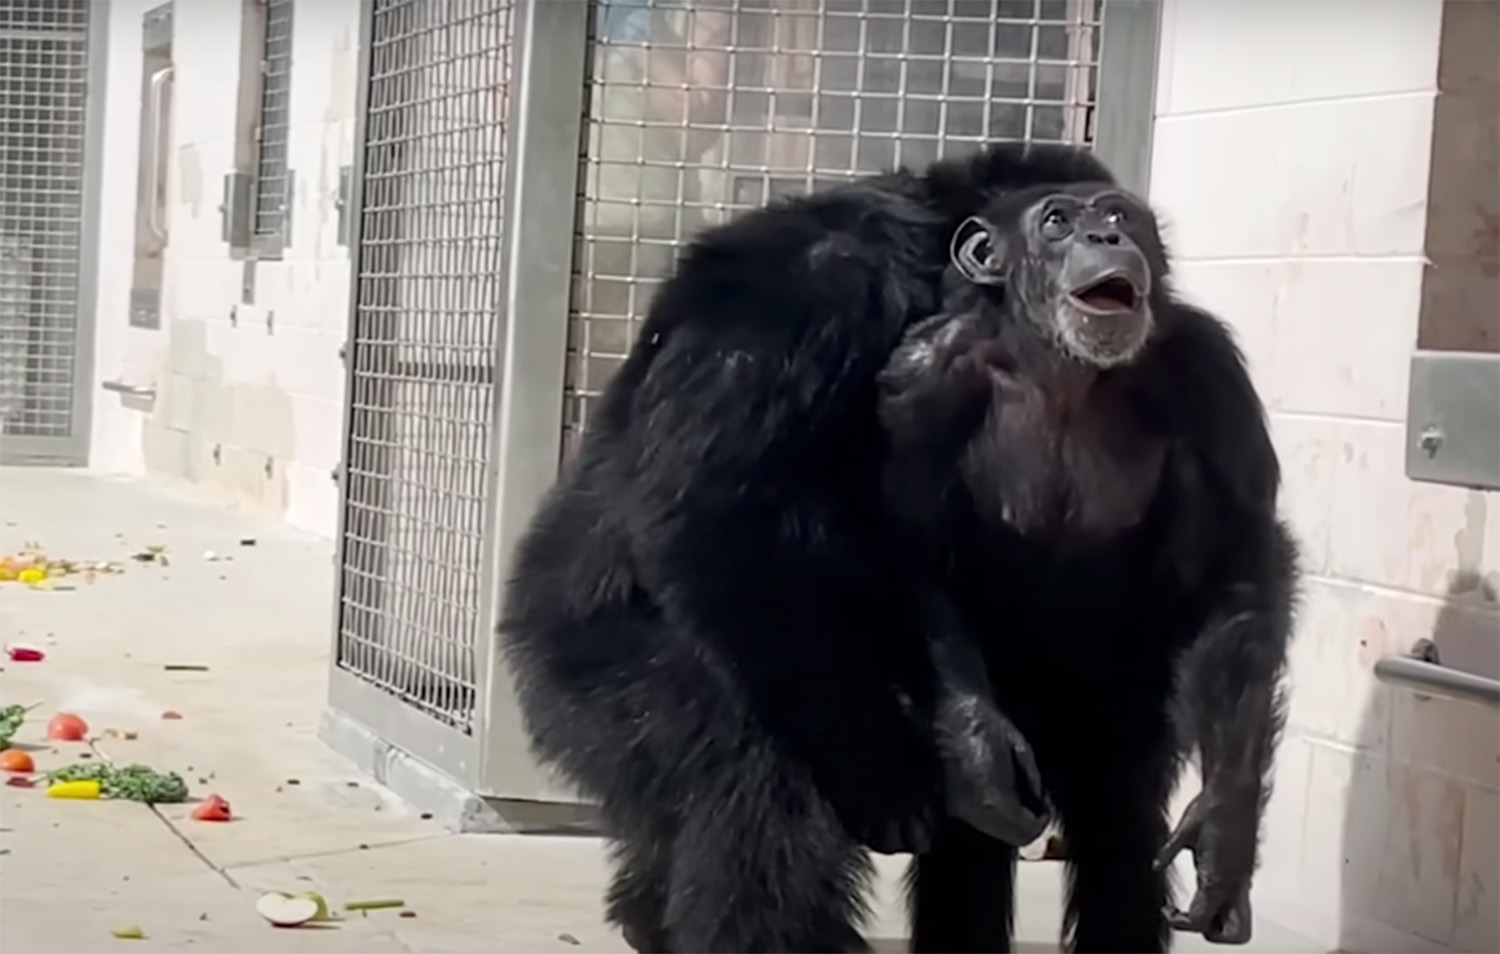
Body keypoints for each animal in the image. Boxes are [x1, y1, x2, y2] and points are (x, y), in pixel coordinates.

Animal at [876, 182, 1302, 948]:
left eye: (1118, 214)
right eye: (1057, 221)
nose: (1104, 237)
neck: (1059, 366)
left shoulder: (1210, 371)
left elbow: (1239, 561)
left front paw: (1223, 833)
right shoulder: (916, 382)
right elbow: (909, 544)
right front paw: (978, 750)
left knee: (1120, 831)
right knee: (968, 857)